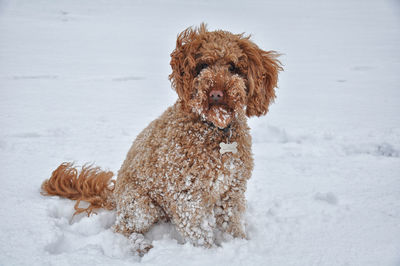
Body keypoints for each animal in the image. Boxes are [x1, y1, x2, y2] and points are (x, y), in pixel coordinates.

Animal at [41, 24, 282, 256]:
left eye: (233, 67)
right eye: (203, 66)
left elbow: (232, 224)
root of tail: (115, 196)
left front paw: (238, 245)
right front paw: (208, 255)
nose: (216, 93)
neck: (215, 129)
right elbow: (199, 233)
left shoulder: (232, 190)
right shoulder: (188, 195)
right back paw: (142, 247)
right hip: (141, 204)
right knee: (122, 228)